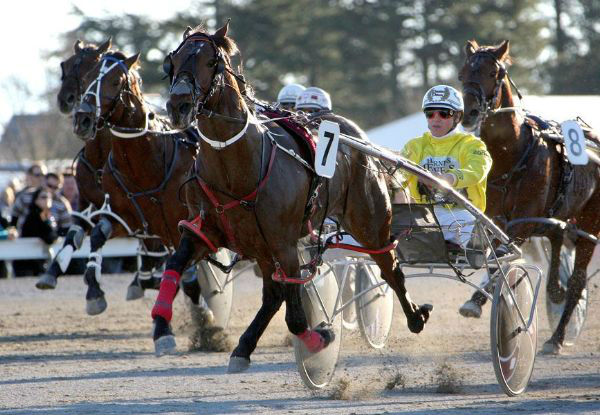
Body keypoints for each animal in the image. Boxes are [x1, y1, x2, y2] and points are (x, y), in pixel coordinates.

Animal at [36, 40, 168, 308]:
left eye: (88, 66)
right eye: (65, 65)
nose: (66, 100)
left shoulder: (122, 214)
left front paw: (95, 286)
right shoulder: (87, 204)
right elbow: (75, 235)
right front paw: (53, 272)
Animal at [71, 51, 225, 332]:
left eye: (115, 81)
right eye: (87, 78)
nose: (83, 119)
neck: (145, 164)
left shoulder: (183, 224)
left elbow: (188, 274)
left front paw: (204, 319)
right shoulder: (128, 218)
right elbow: (98, 234)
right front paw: (94, 293)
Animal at [150, 22, 432, 372]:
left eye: (210, 61)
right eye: (172, 62)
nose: (179, 105)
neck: (237, 164)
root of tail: (357, 137)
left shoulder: (283, 244)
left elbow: (296, 315)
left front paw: (320, 338)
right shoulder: (206, 230)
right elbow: (175, 264)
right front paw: (162, 325)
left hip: (369, 222)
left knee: (388, 266)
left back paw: (415, 316)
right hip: (259, 246)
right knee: (273, 294)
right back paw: (243, 347)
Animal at [460, 39, 600, 354]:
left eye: (493, 73)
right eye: (462, 73)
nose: (470, 113)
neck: (509, 155)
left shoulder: (521, 223)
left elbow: (502, 257)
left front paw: (482, 298)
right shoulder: (495, 218)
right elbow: (495, 257)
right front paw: (479, 300)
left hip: (590, 224)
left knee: (577, 281)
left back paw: (556, 338)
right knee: (557, 239)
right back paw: (555, 291)